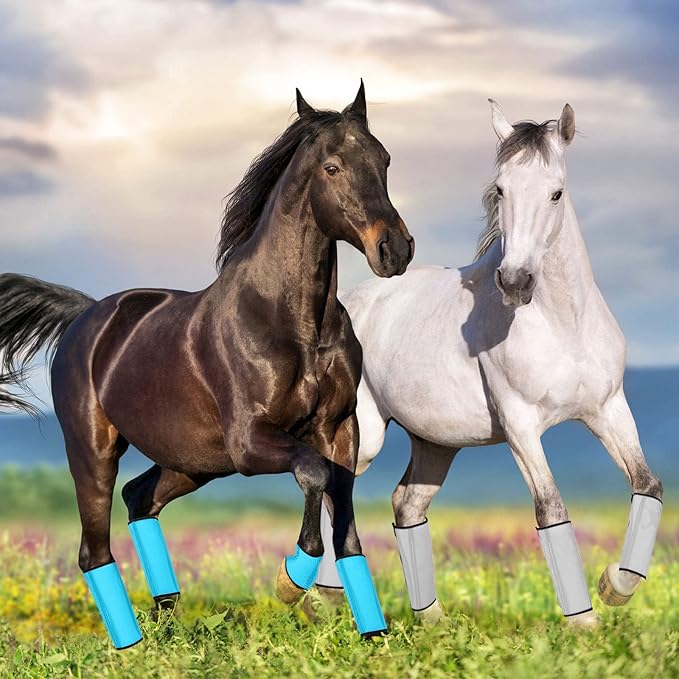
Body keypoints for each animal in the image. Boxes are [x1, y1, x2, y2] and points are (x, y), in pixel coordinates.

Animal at [0, 82, 414, 648]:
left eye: (385, 159)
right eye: (332, 167)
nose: (395, 249)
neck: (293, 323)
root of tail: (86, 316)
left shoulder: (338, 430)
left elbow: (344, 521)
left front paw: (375, 637)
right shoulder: (250, 441)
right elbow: (312, 476)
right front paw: (289, 581)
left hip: (192, 462)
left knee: (140, 498)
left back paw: (166, 624)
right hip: (94, 450)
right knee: (94, 548)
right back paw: (132, 645)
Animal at [314, 100, 663, 628]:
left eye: (556, 192)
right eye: (501, 189)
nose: (515, 281)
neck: (563, 325)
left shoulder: (608, 410)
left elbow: (648, 485)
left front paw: (614, 585)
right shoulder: (521, 426)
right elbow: (550, 508)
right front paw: (584, 621)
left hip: (436, 444)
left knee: (406, 504)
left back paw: (430, 619)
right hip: (367, 434)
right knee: (336, 492)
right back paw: (314, 593)